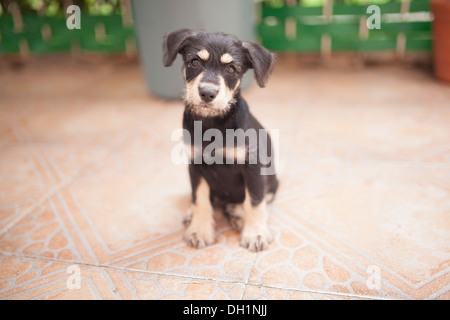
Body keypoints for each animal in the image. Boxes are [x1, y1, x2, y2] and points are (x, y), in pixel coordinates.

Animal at [164, 28, 278, 252]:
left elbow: (255, 201)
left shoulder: (253, 166)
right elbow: (200, 199)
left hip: (272, 180)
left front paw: (256, 233)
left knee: (263, 198)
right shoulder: (196, 165)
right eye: (195, 62)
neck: (213, 124)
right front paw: (199, 230)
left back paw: (238, 213)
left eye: (232, 69)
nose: (207, 93)